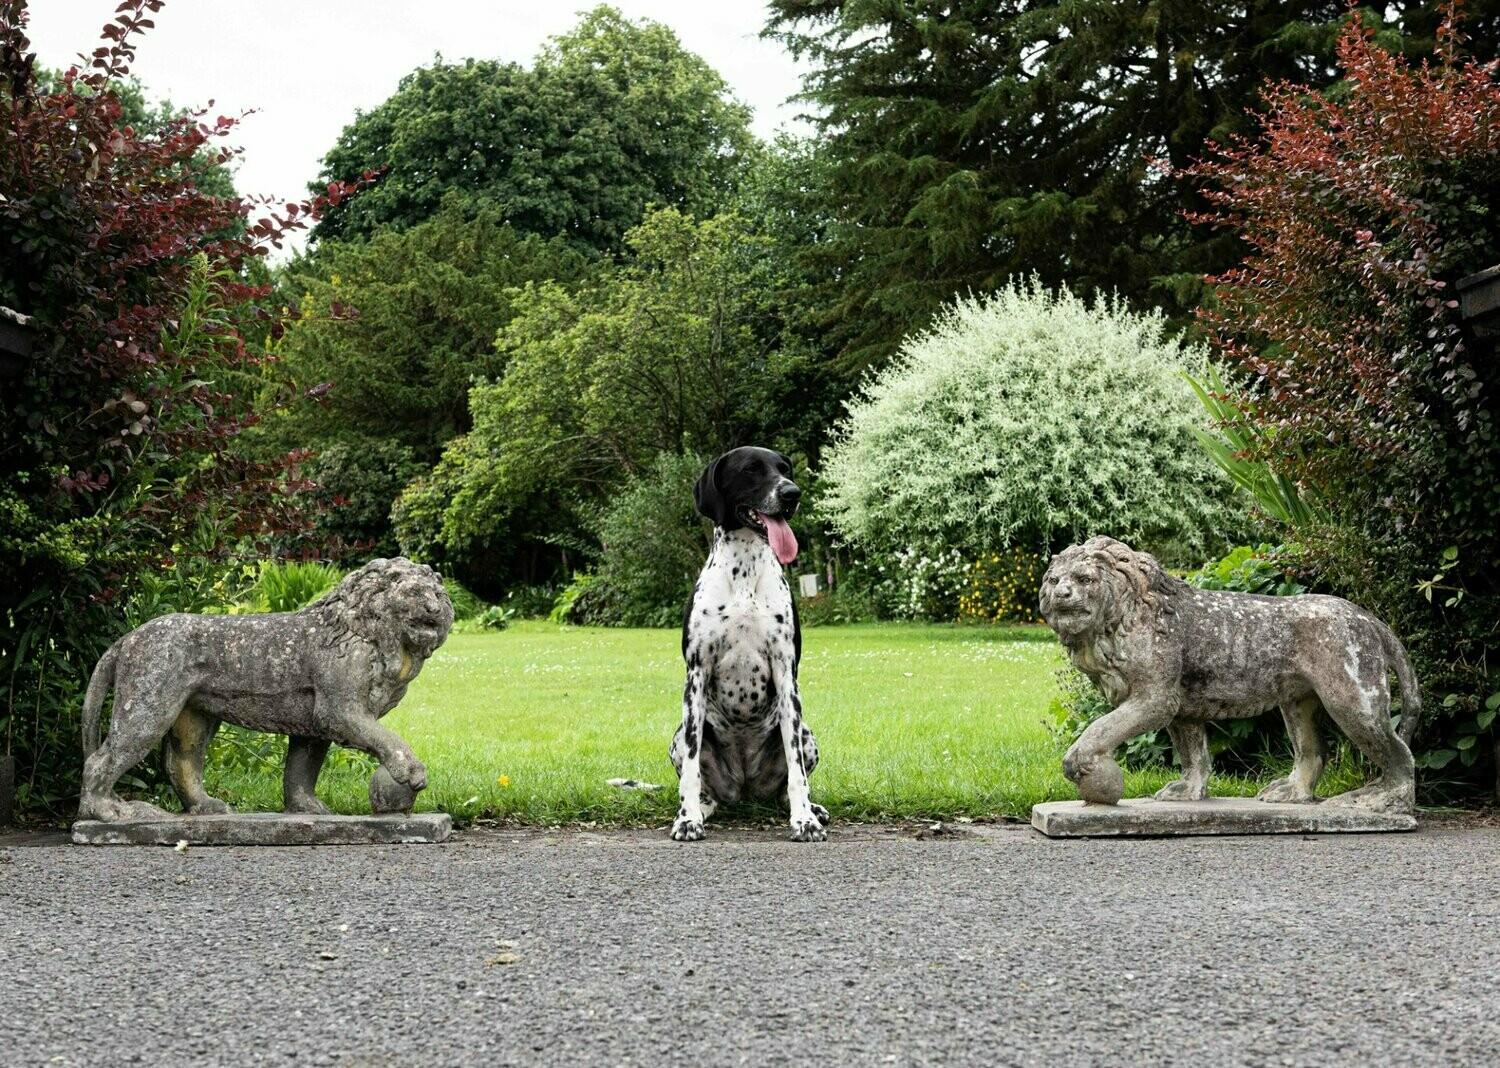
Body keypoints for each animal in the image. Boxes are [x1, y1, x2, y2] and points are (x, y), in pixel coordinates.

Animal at [672, 447, 834, 840]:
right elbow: (691, 770)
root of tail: (744, 790)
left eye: (785, 469)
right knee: (701, 782)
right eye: (751, 470)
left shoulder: (786, 673)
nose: (792, 493)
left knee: (789, 782)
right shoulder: (696, 674)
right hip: (678, 735)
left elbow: (797, 773)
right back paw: (701, 808)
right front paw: (687, 819)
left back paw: (813, 809)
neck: (744, 572)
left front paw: (804, 820)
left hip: (807, 734)